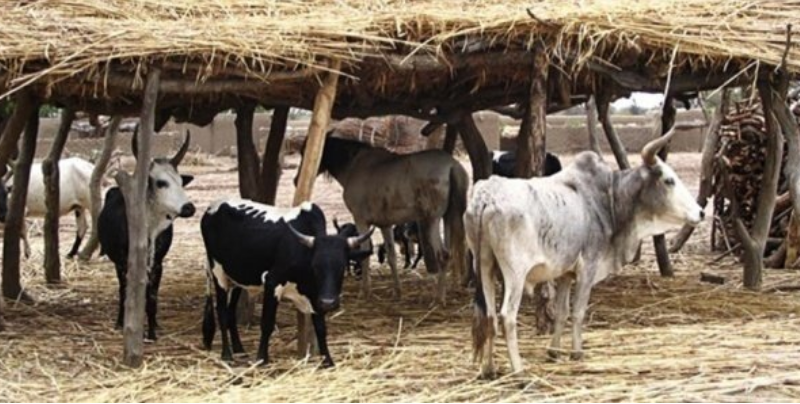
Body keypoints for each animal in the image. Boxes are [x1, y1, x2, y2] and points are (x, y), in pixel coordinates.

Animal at [97, 132, 195, 340]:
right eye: (161, 183)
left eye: (180, 182)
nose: (189, 208)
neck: (149, 227)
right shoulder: (124, 262)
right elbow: (127, 293)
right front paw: (127, 324)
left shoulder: (157, 263)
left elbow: (152, 298)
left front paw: (152, 332)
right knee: (122, 290)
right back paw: (120, 320)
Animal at [202, 199, 374, 366]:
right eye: (315, 266)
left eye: (342, 266)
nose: (329, 302)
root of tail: (211, 207)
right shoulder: (272, 283)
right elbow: (267, 323)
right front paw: (261, 358)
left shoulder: (316, 294)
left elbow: (320, 327)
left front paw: (327, 360)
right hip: (218, 273)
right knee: (222, 311)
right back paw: (227, 355)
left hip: (237, 278)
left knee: (231, 312)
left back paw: (239, 350)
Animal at [466, 124, 704, 378]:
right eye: (669, 180)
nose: (701, 212)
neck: (608, 199)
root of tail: (486, 196)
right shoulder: (587, 268)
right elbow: (578, 311)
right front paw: (576, 352)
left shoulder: (564, 273)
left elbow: (561, 312)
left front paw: (554, 351)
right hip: (515, 274)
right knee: (507, 316)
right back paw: (519, 371)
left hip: (485, 267)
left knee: (489, 315)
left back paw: (488, 369)